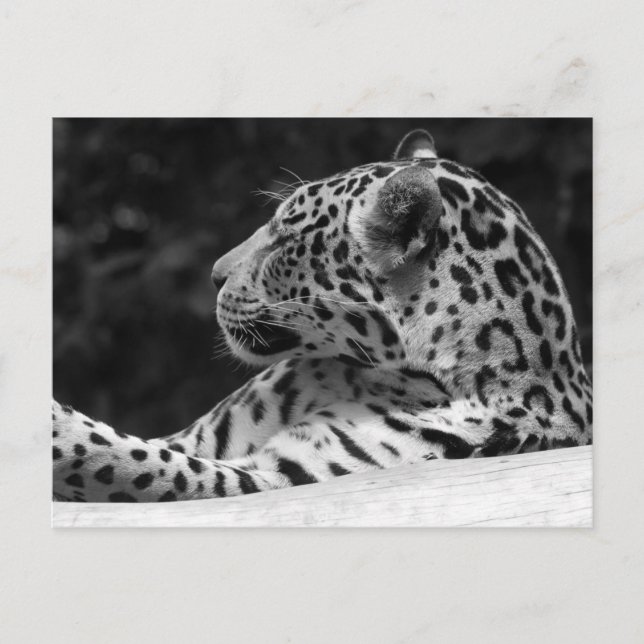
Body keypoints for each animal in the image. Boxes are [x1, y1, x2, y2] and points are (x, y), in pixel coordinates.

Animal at [52, 129, 592, 503]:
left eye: (286, 240)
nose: (213, 274)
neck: (365, 374)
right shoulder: (194, 438)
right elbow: (139, 444)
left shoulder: (278, 481)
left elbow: (127, 459)